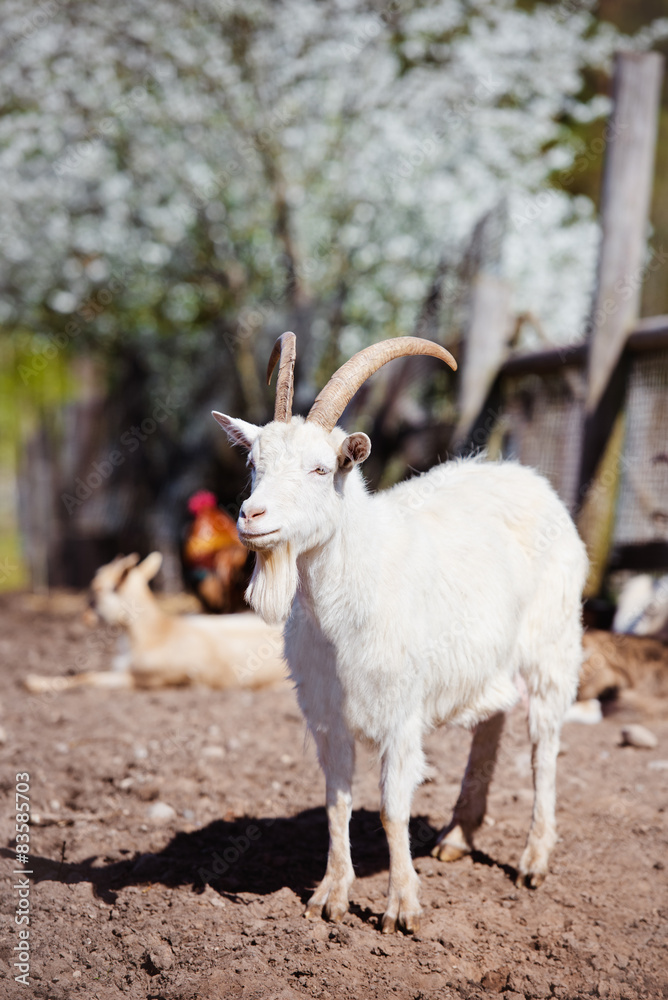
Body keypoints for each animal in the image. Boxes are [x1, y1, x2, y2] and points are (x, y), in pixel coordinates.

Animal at [24, 552, 287, 694]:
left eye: (98, 589)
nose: (84, 618)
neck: (156, 633)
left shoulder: (141, 679)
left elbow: (86, 677)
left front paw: (32, 682)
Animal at [212, 332, 588, 935]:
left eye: (322, 469)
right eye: (253, 462)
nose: (252, 517)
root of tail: (530, 479)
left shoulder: (400, 712)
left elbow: (392, 807)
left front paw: (401, 908)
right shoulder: (327, 717)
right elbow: (336, 802)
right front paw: (329, 897)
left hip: (551, 644)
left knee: (543, 746)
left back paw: (533, 860)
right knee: (493, 722)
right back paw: (458, 836)